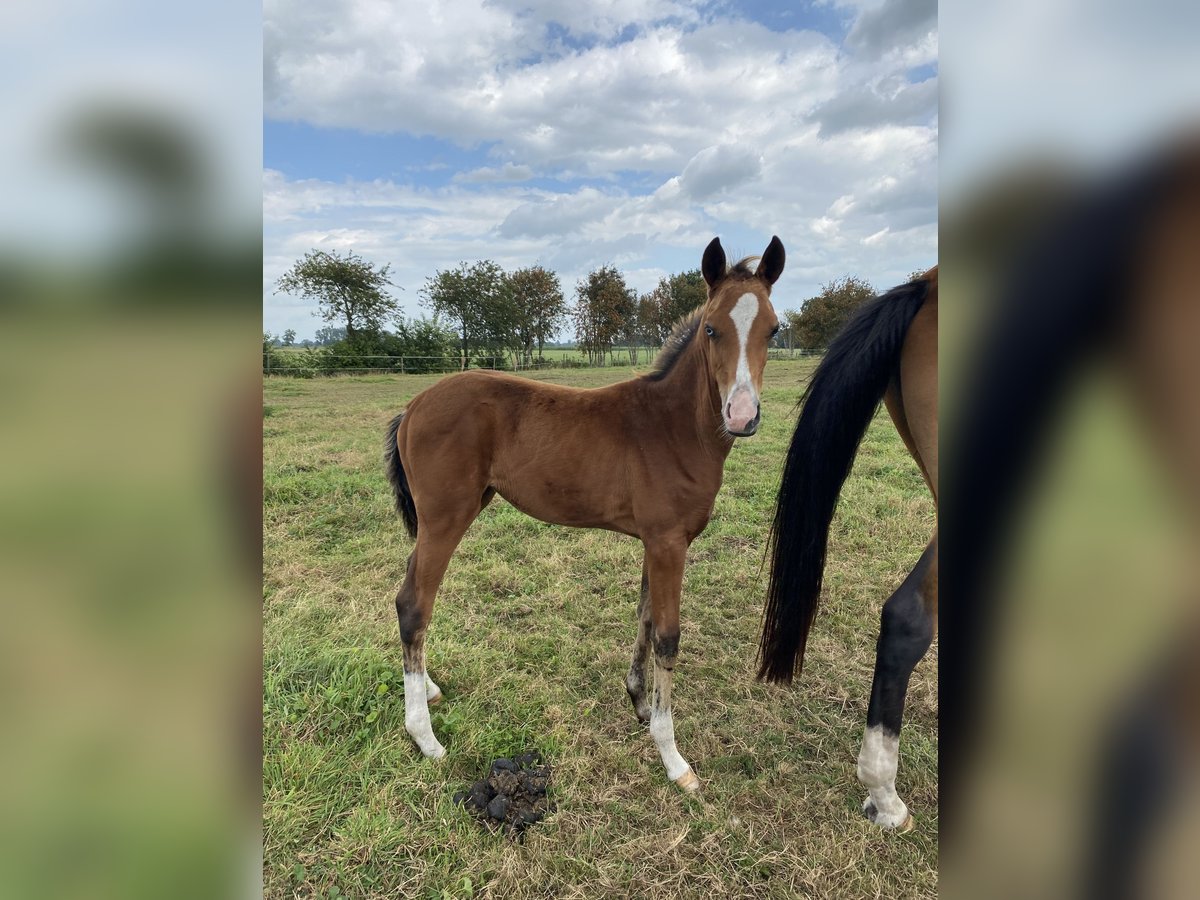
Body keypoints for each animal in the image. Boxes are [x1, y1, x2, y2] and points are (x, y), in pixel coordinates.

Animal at [379, 236, 782, 792]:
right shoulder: (668, 542)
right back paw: (425, 737)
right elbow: (668, 636)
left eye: (774, 329)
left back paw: (430, 690)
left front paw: (639, 703)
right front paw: (673, 757)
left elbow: (644, 617)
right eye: (711, 328)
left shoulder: (655, 541)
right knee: (414, 604)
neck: (673, 428)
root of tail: (414, 407)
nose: (741, 416)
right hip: (445, 519)